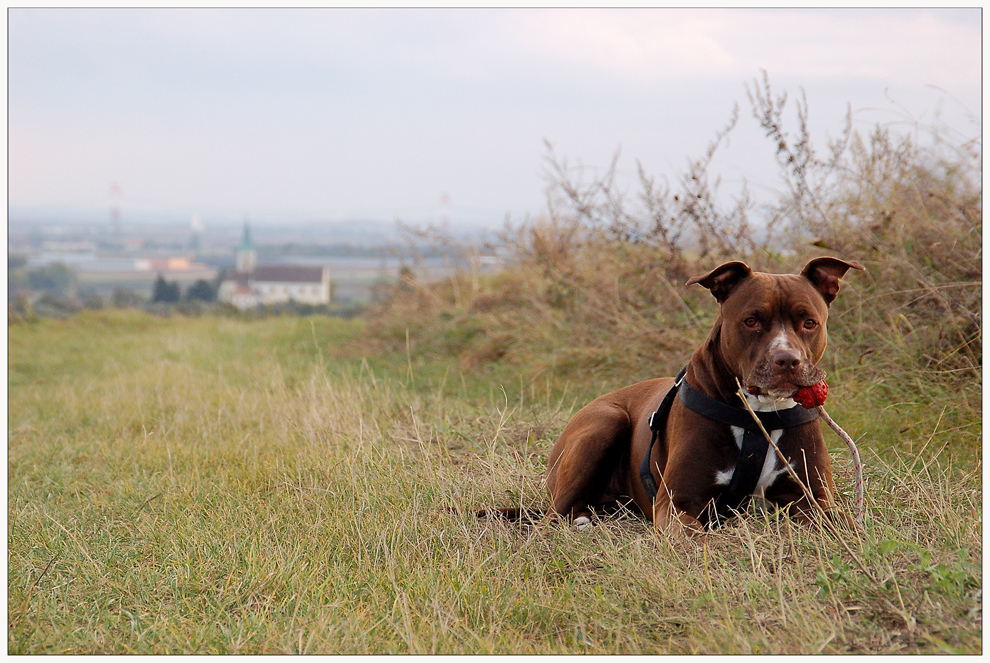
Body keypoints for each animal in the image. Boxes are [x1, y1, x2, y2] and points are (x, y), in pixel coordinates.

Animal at [548, 255, 864, 540]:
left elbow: (845, 525)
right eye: (751, 321)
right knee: (555, 513)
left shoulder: (814, 499)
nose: (787, 360)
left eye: (809, 322)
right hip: (605, 421)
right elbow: (693, 537)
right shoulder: (676, 504)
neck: (759, 417)